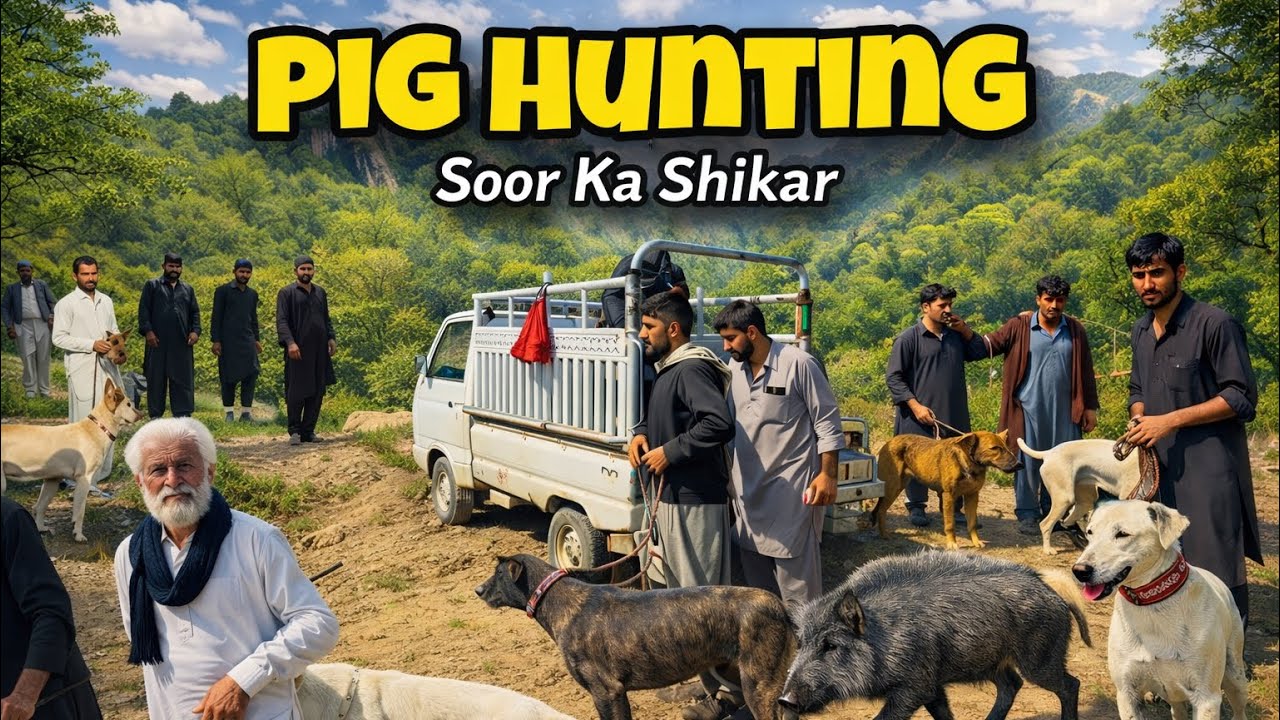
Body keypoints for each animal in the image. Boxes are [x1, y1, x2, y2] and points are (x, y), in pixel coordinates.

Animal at [778, 550, 1091, 719]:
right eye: (801, 644)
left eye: (831, 645)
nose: (785, 700)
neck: (886, 637)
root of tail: (1052, 589)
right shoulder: (933, 686)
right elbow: (943, 712)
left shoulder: (915, 686)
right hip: (992, 664)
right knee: (1012, 684)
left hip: (1040, 660)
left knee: (1071, 684)